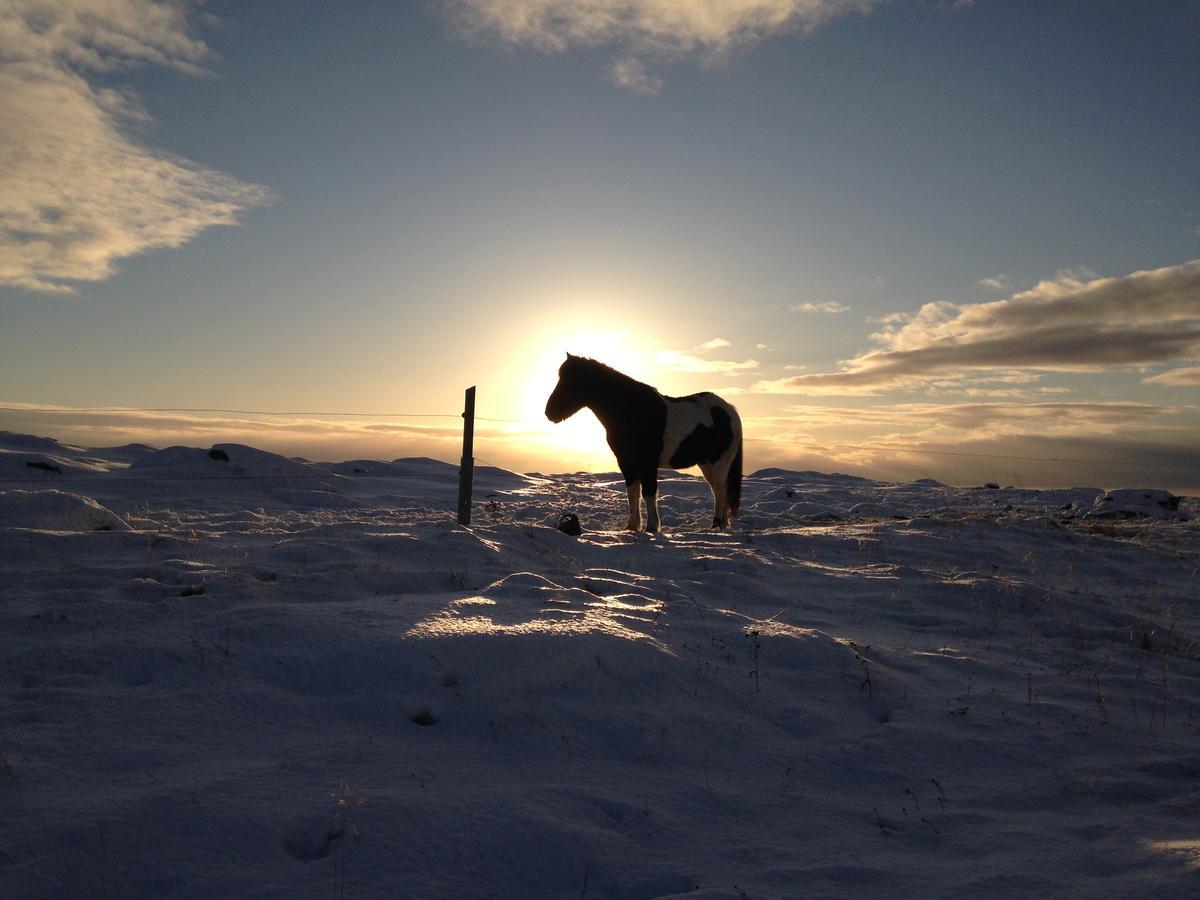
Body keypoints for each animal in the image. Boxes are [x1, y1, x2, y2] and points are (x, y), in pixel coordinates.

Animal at [544, 355, 739, 535]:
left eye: (573, 380)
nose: (549, 412)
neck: (634, 410)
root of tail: (729, 410)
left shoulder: (648, 464)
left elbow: (649, 493)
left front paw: (651, 528)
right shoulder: (627, 463)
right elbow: (633, 494)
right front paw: (632, 527)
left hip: (718, 462)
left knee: (720, 490)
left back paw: (717, 524)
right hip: (706, 463)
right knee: (718, 490)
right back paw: (721, 525)